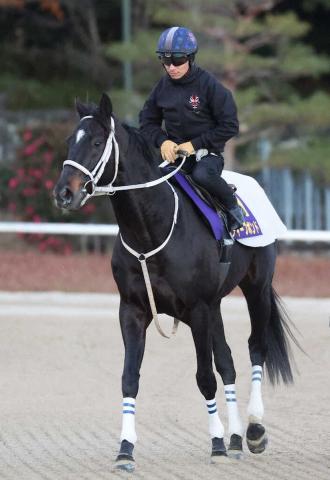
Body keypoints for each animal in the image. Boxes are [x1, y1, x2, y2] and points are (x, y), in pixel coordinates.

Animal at [54, 94, 296, 472]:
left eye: (95, 143)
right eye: (69, 141)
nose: (64, 192)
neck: (153, 229)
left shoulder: (197, 310)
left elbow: (204, 377)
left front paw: (216, 444)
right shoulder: (133, 310)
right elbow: (130, 378)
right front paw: (125, 449)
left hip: (255, 289)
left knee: (256, 348)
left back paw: (254, 429)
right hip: (216, 306)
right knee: (227, 362)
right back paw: (237, 438)